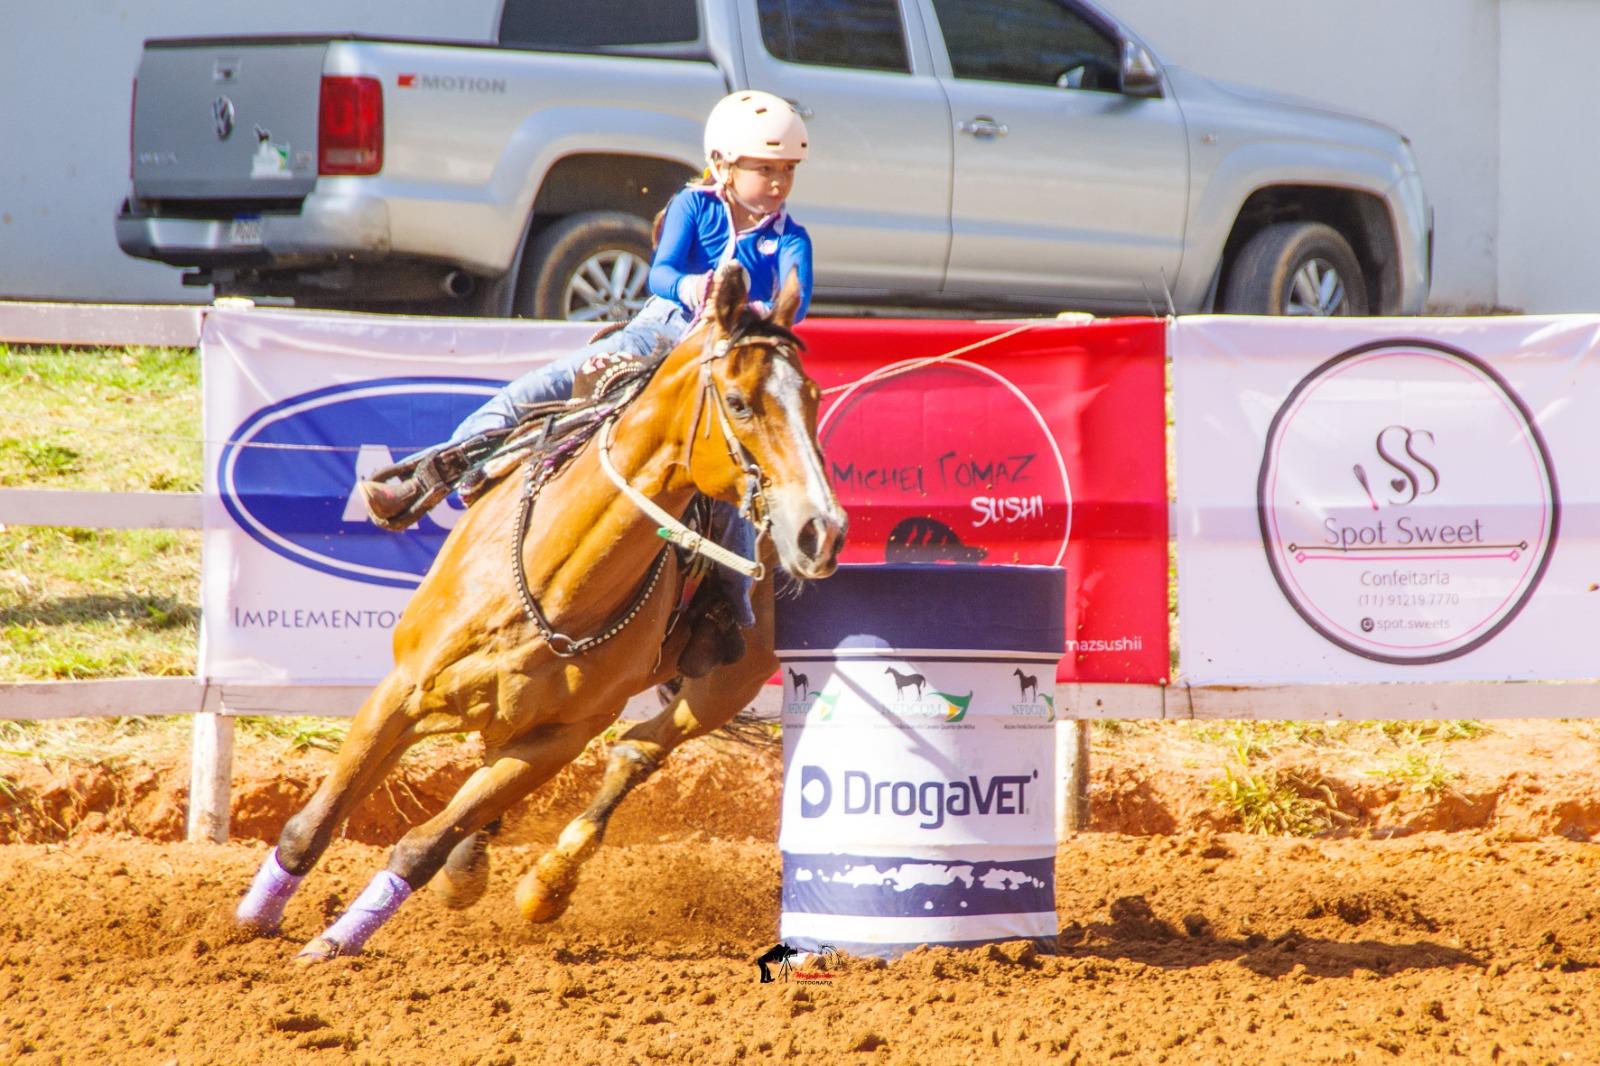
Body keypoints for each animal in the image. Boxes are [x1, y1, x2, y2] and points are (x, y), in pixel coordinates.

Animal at [234, 262, 846, 963]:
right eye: (740, 402)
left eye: (813, 398)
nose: (822, 531)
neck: (552, 582)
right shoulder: (402, 692)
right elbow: (311, 825)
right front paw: (252, 924)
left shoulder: (559, 740)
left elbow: (420, 846)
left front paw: (333, 944)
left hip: (728, 682)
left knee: (639, 749)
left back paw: (545, 883)